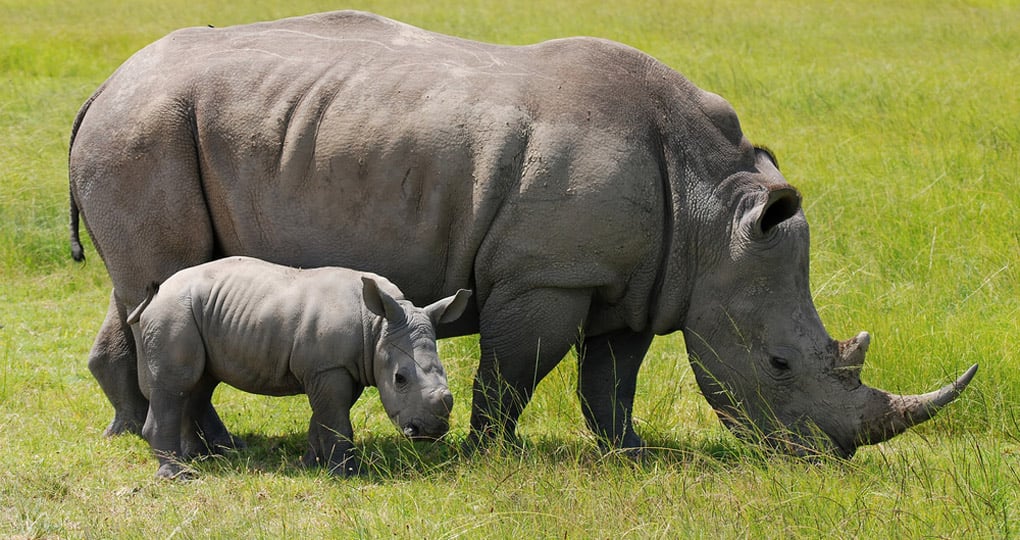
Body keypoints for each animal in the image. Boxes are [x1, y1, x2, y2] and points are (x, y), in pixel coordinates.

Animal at [126, 256, 472, 478]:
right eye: (400, 379)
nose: (431, 431)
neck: (377, 326)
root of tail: (157, 294)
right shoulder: (329, 368)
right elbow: (336, 419)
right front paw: (348, 475)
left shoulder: (338, 366)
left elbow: (325, 417)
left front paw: (311, 464)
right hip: (173, 313)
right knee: (176, 386)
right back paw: (179, 475)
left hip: (193, 314)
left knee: (199, 384)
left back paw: (203, 458)